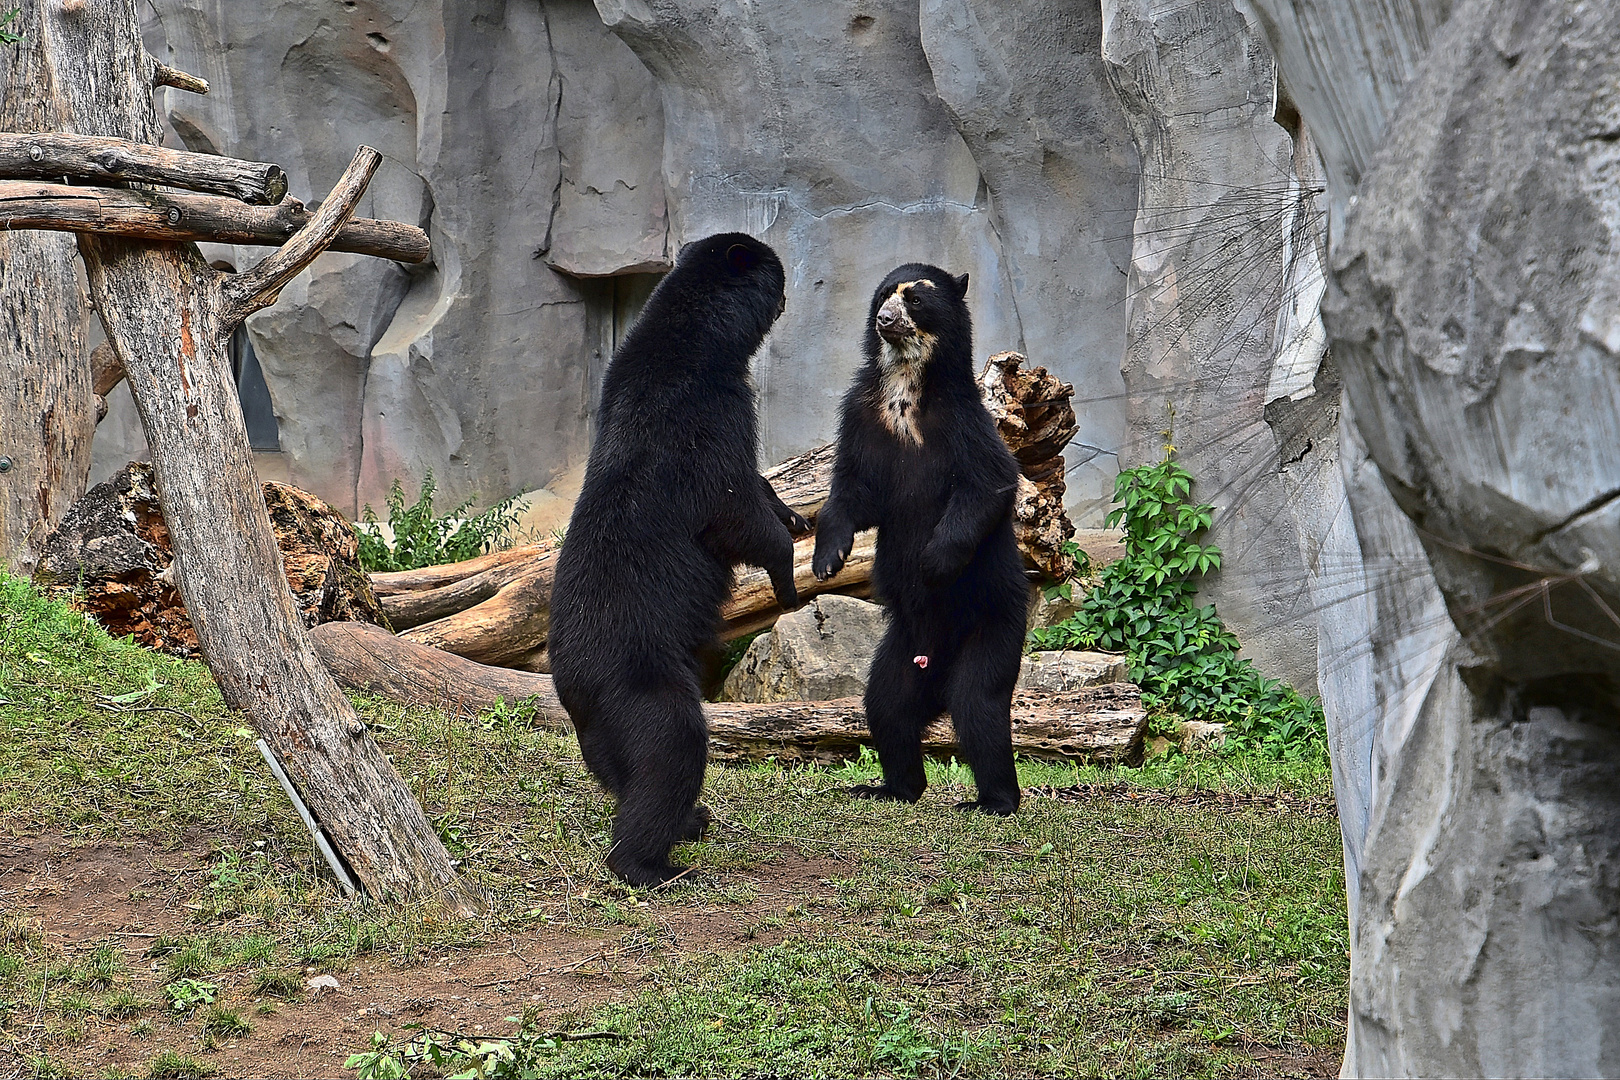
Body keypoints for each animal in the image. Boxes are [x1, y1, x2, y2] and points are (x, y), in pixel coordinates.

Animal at [550, 234, 810, 887]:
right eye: (776, 270)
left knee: (626, 774)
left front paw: (795, 516)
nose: (789, 287)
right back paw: (653, 862)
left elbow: (755, 490)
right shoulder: (704, 419)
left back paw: (689, 822)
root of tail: (571, 686)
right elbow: (733, 507)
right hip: (643, 685)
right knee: (671, 749)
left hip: (604, 729)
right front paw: (788, 581)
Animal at [810, 265, 1023, 816]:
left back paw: (993, 801)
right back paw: (892, 787)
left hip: (993, 625)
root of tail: (935, 664)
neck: (905, 381)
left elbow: (987, 484)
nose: (885, 319)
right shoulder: (861, 416)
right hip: (900, 649)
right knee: (886, 707)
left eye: (916, 299)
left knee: (979, 705)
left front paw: (931, 563)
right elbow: (852, 489)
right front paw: (826, 561)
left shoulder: (965, 421)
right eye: (885, 295)